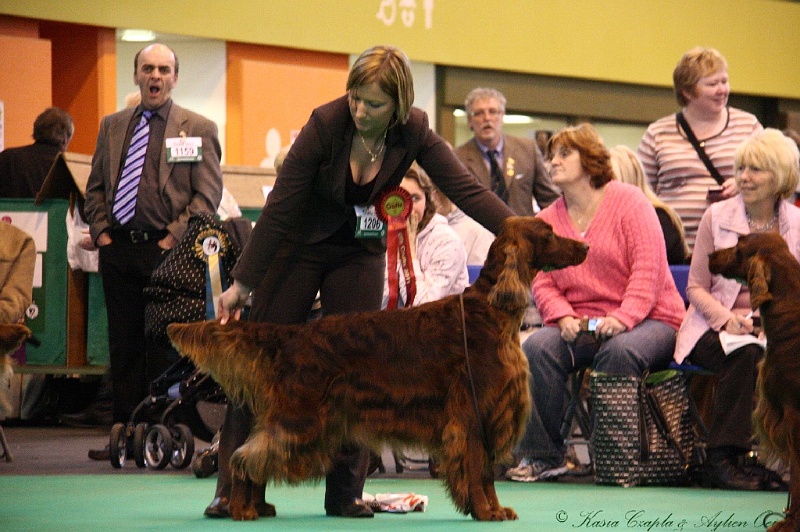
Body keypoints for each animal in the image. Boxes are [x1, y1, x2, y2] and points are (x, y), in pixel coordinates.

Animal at [169, 216, 588, 520]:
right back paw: (241, 508)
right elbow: (479, 470)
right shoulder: (474, 413)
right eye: (548, 233)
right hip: (301, 419)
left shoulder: (485, 413)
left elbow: (482, 473)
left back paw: (257, 506)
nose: (585, 245)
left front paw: (493, 509)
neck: (490, 311)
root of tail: (293, 335)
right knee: (246, 456)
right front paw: (487, 512)